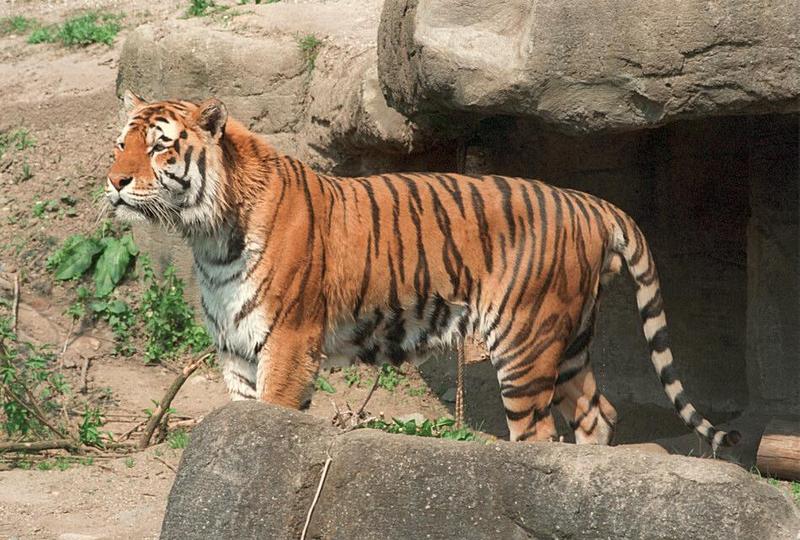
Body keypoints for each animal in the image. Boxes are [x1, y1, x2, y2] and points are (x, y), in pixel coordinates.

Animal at [108, 92, 744, 452]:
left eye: (161, 147)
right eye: (120, 144)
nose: (114, 182)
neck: (210, 237)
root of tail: (591, 202)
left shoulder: (287, 344)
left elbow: (272, 425)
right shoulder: (237, 350)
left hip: (525, 343)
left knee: (538, 433)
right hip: (567, 343)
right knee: (597, 414)